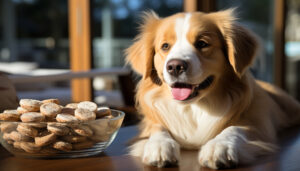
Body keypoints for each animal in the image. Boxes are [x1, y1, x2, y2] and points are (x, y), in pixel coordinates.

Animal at [123, 9, 300, 170]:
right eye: (165, 46)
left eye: (202, 43)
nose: (175, 66)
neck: (194, 107)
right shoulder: (150, 123)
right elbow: (158, 128)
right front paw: (159, 146)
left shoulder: (259, 124)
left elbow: (234, 128)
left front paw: (219, 147)